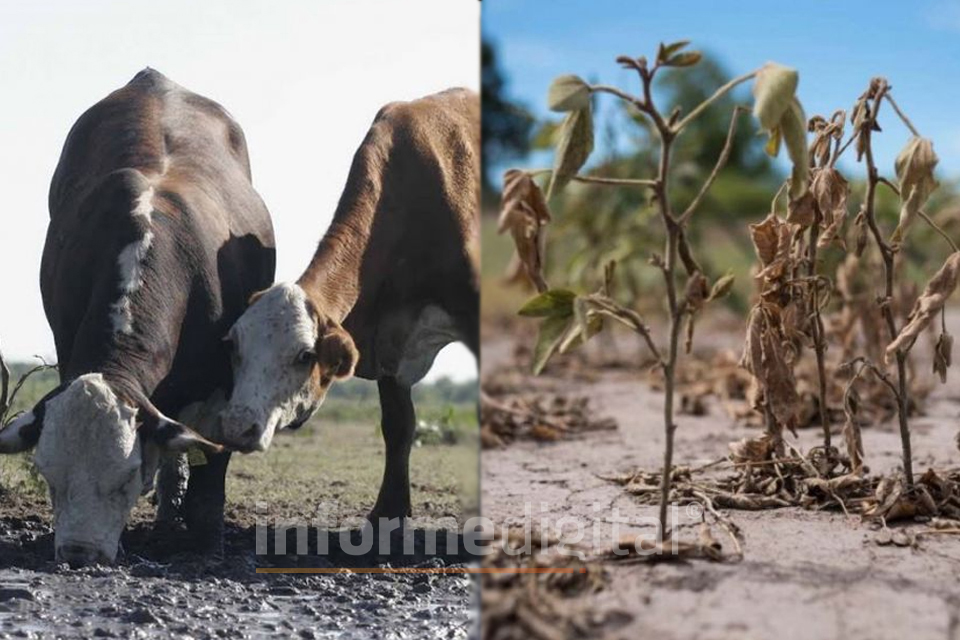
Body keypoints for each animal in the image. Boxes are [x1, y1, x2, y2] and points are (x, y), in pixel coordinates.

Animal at [0, 67, 278, 564]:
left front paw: (207, 543)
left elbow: (209, 476)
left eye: (126, 478)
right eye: (50, 477)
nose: (79, 552)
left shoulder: (225, 384)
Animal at [218, 87, 476, 524]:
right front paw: (390, 509)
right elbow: (398, 425)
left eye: (305, 355)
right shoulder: (390, 339)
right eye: (234, 347)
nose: (238, 427)